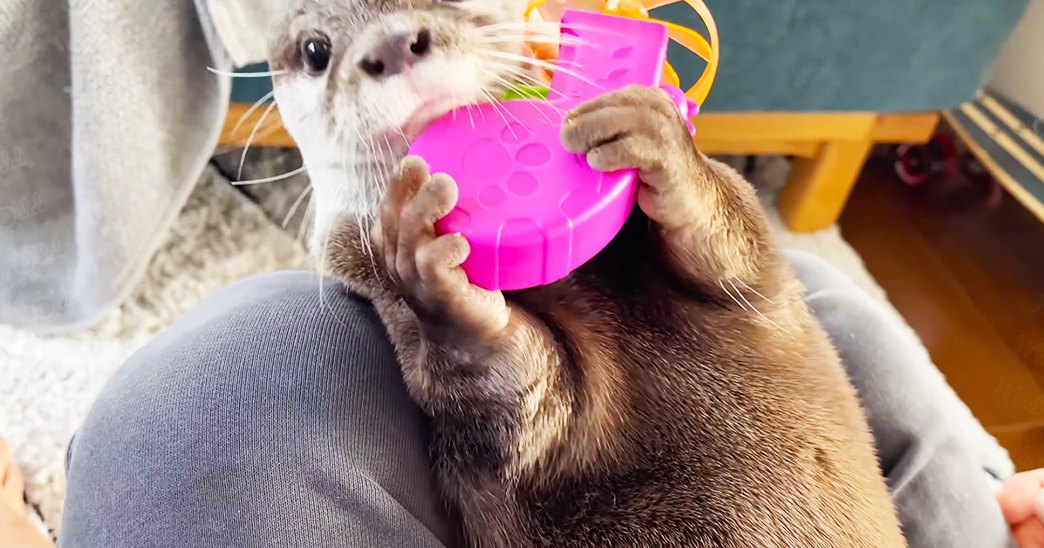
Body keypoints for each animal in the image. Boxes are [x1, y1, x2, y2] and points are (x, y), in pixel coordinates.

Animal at [267, 1, 907, 546]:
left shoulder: (758, 281)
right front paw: (436, 273)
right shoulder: (368, 277)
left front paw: (656, 140)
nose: (393, 44)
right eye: (315, 50)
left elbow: (737, 241)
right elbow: (513, 399)